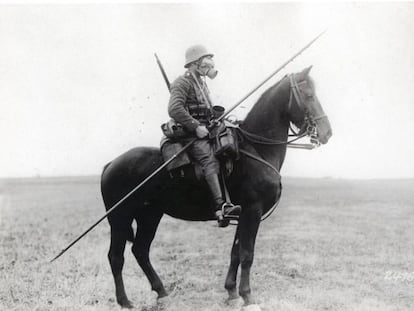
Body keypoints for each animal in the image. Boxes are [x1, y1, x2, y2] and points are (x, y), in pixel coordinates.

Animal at [99, 66, 330, 310]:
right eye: (309, 95)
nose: (327, 132)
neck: (257, 149)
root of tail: (111, 164)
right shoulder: (253, 210)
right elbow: (247, 253)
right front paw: (248, 297)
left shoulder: (244, 213)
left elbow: (236, 252)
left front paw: (232, 293)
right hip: (120, 217)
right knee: (116, 256)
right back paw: (125, 301)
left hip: (149, 215)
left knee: (140, 250)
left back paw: (162, 293)